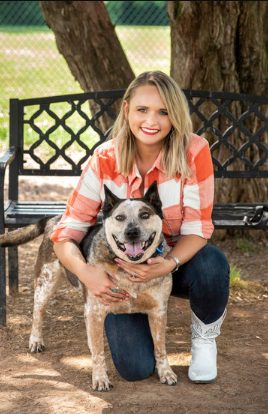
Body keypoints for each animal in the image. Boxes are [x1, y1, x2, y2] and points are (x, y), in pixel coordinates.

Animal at [0, 182, 178, 392]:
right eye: (119, 217)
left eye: (144, 214)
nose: (131, 232)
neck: (130, 268)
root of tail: (55, 219)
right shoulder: (95, 310)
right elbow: (99, 351)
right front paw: (100, 378)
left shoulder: (158, 311)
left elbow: (160, 347)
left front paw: (165, 372)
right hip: (46, 283)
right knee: (38, 312)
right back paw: (36, 340)